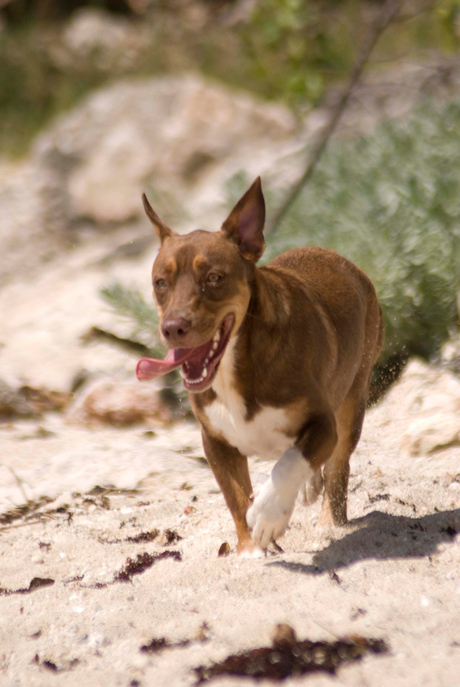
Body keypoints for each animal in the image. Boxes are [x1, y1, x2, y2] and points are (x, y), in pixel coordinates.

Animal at [137, 176, 384, 552]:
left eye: (214, 278)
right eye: (160, 283)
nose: (173, 328)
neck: (234, 367)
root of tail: (345, 262)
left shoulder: (323, 424)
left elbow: (290, 464)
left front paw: (268, 516)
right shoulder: (216, 444)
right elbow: (237, 498)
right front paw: (250, 552)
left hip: (352, 401)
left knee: (337, 468)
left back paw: (330, 523)